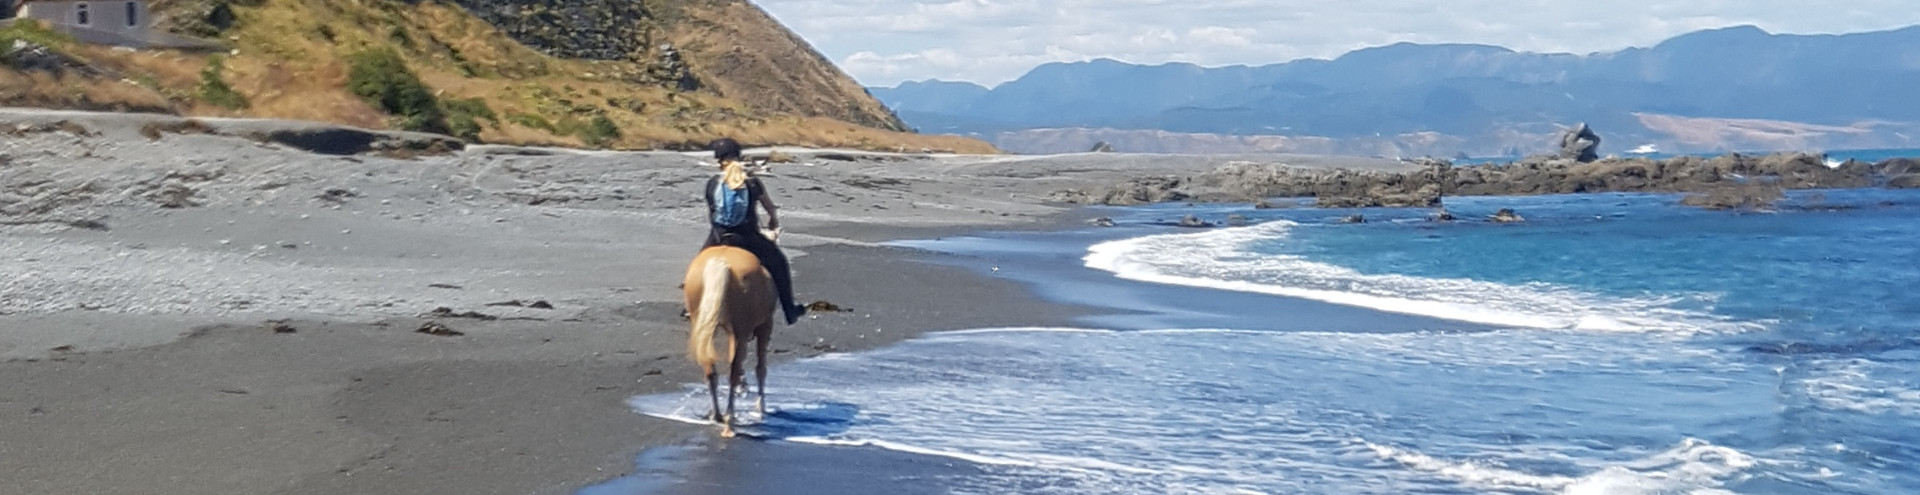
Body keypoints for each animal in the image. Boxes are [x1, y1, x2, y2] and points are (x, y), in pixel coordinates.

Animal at [679, 244, 775, 437]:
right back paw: (729, 421)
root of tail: (720, 262)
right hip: (742, 331)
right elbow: (760, 368)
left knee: (710, 370)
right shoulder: (764, 326)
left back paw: (717, 415)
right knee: (733, 372)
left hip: (705, 327)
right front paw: (761, 407)